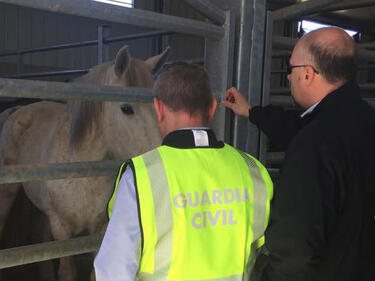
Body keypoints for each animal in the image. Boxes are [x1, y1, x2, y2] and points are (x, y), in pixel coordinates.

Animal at [0, 44, 169, 278]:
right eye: (126, 108)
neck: (82, 171)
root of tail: (16, 110)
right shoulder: (61, 229)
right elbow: (67, 272)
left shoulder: (100, 229)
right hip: (8, 192)